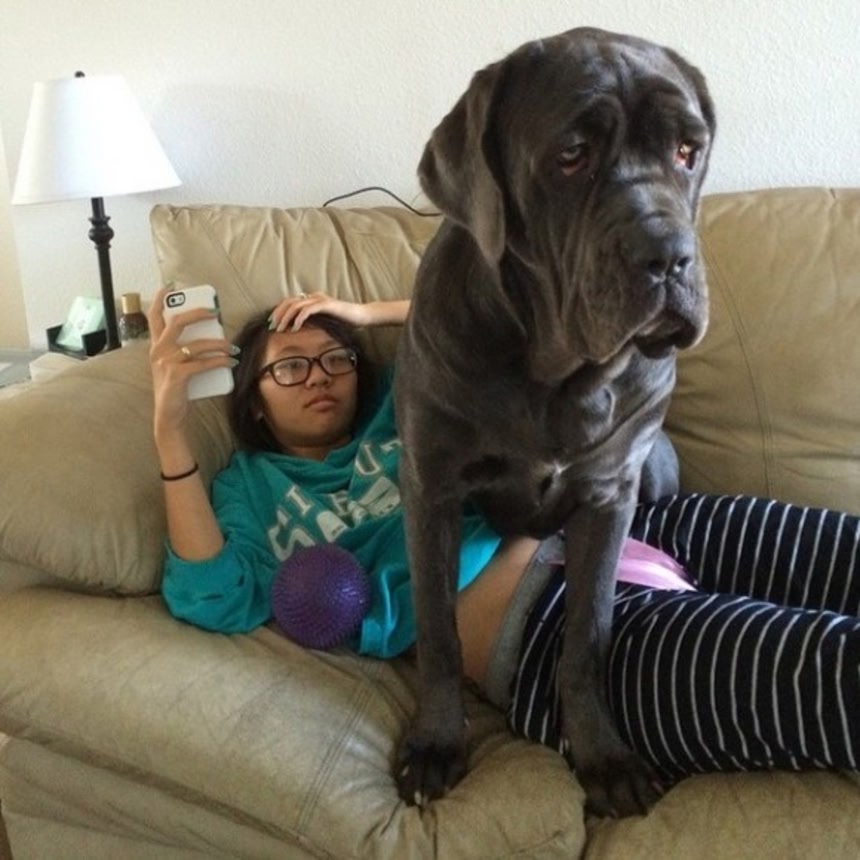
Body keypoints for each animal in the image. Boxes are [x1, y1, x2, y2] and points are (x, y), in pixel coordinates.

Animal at [392, 27, 715, 817]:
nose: (670, 256)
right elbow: (437, 627)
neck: (557, 374)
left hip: (656, 470)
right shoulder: (431, 487)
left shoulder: (608, 494)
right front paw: (435, 743)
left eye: (687, 151)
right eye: (572, 154)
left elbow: (588, 633)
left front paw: (603, 756)